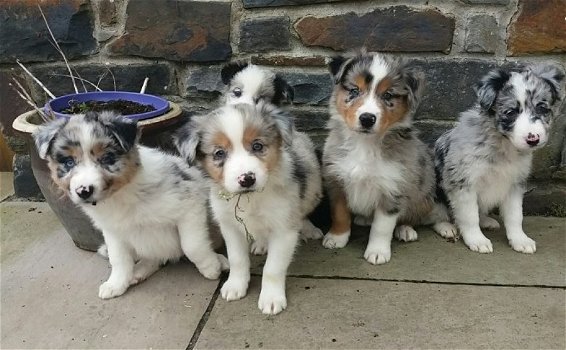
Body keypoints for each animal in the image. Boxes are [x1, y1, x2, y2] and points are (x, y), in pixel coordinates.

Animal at [35, 111, 229, 298]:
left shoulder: (189, 206)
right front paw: (115, 284)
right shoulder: (113, 231)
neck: (120, 194)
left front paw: (211, 268)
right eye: (69, 162)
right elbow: (118, 259)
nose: (84, 191)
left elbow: (192, 246)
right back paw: (138, 272)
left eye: (106, 158)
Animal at [175, 102, 322, 316]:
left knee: (305, 209)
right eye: (219, 153)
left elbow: (273, 268)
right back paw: (261, 244)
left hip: (313, 187)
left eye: (257, 146)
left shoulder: (284, 227)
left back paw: (310, 229)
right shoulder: (230, 226)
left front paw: (271, 298)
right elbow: (237, 259)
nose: (247, 179)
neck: (250, 198)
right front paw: (235, 286)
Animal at [324, 51, 452, 266]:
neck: (365, 144)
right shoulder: (336, 181)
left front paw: (377, 252)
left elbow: (382, 227)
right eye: (354, 90)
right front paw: (336, 237)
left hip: (422, 193)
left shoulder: (393, 188)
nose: (367, 118)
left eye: (388, 95)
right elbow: (339, 213)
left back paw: (416, 229)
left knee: (424, 216)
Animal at [434, 64, 564, 253]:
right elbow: (469, 216)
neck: (503, 145)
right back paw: (446, 227)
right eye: (510, 112)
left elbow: (515, 216)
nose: (533, 139)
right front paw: (477, 240)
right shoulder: (462, 182)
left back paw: (486, 221)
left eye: (542, 108)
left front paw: (520, 239)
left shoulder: (514, 183)